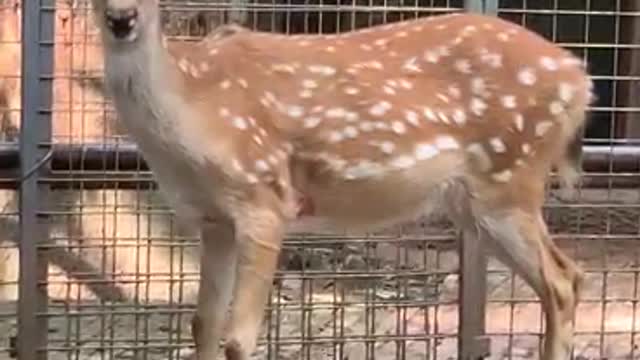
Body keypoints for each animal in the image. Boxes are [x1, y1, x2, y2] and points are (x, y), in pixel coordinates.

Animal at [87, 1, 592, 358]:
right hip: (479, 201)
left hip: (508, 179)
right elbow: (203, 326)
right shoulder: (212, 220)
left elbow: (238, 339)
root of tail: (581, 78)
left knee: (560, 282)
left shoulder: (265, 197)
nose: (122, 18)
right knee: (569, 274)